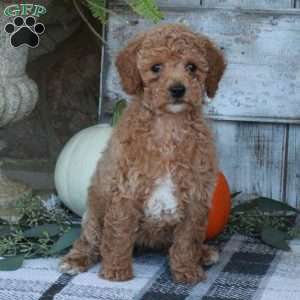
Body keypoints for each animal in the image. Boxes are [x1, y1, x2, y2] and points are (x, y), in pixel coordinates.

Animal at [60, 24, 225, 284]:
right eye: (156, 67)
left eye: (191, 67)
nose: (178, 89)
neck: (168, 125)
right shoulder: (126, 190)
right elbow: (118, 233)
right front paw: (116, 271)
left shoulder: (196, 196)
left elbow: (187, 239)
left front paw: (186, 270)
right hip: (93, 212)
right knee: (90, 239)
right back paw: (76, 260)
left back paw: (204, 253)